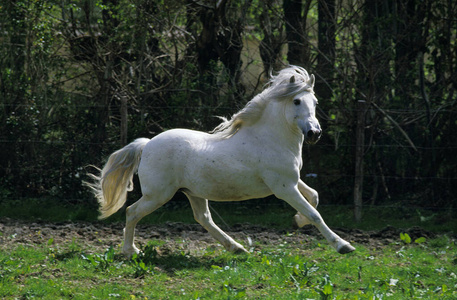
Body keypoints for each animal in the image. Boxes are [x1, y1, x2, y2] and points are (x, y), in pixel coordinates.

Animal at [87, 65, 354, 255]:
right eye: (297, 101)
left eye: (315, 102)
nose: (314, 133)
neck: (269, 138)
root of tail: (147, 144)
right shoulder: (283, 187)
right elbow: (315, 213)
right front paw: (343, 246)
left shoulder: (291, 181)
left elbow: (314, 197)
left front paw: (297, 221)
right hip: (158, 194)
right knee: (132, 211)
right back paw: (131, 251)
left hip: (193, 192)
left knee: (203, 218)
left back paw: (237, 248)